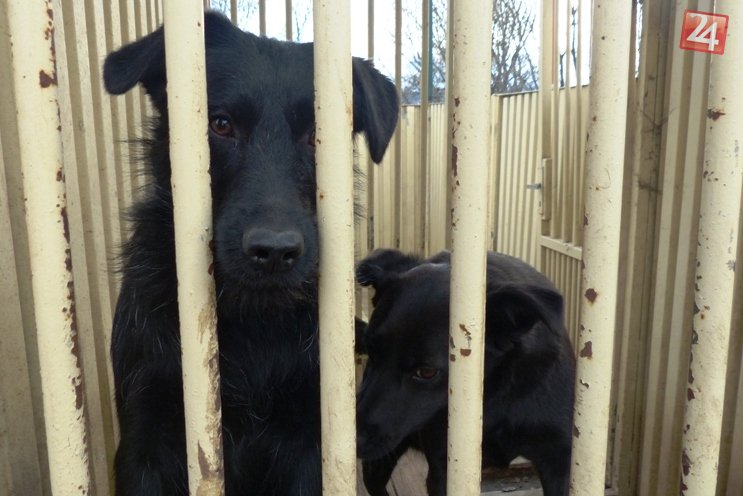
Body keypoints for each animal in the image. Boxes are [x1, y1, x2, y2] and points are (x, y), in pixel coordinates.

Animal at [103, 12, 398, 495]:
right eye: (220, 124)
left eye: (318, 136)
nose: (274, 251)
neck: (252, 318)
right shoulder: (143, 443)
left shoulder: (310, 444)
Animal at [354, 249, 575, 496]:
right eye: (371, 350)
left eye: (427, 372)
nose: (351, 439)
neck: (494, 391)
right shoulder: (444, 470)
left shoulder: (558, 461)